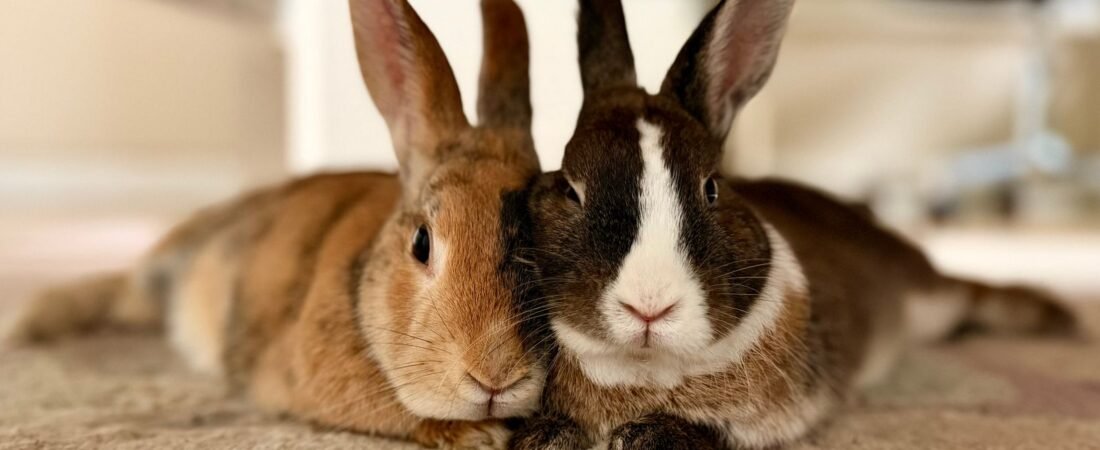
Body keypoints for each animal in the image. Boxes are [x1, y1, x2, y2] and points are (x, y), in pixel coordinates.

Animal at [509, 0, 1077, 449]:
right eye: (571, 189)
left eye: (712, 188)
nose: (649, 306)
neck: (646, 370)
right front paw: (548, 436)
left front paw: (647, 433)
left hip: (930, 300)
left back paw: (1055, 318)